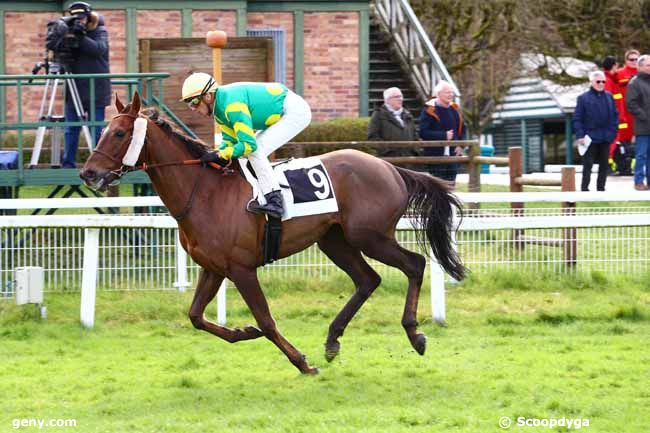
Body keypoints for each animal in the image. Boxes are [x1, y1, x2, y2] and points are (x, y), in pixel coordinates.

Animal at [81, 92, 464, 374]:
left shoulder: (241, 269)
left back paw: (414, 334)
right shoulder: (213, 268)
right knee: (368, 279)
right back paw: (332, 340)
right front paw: (242, 331)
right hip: (334, 239)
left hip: (369, 236)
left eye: (118, 133)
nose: (88, 173)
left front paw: (301, 363)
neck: (203, 191)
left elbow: (265, 320)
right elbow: (196, 317)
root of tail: (391, 167)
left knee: (414, 265)